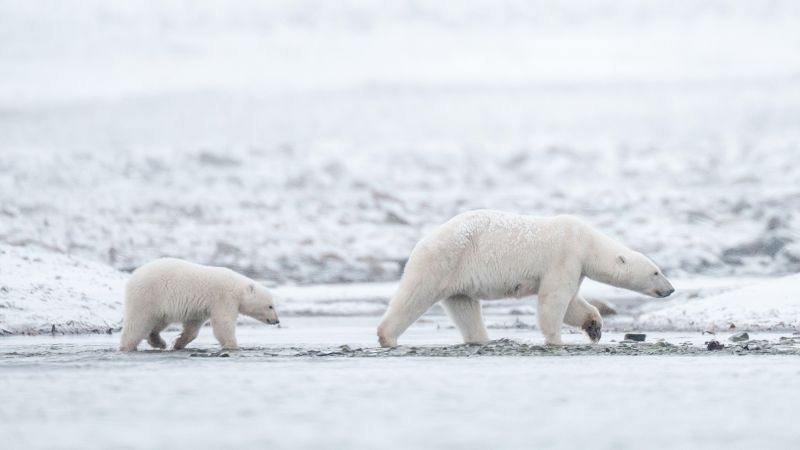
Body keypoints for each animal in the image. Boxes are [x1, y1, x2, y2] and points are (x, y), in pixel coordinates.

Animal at [119, 258, 279, 352]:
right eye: (270, 306)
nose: (276, 320)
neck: (237, 288)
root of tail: (133, 277)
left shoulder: (199, 308)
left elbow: (192, 327)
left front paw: (179, 343)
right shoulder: (224, 298)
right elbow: (223, 323)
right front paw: (232, 346)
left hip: (158, 305)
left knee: (158, 322)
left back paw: (159, 342)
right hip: (148, 296)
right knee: (138, 322)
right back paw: (127, 347)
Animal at [377, 210, 674, 347]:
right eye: (656, 271)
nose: (670, 289)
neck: (586, 241)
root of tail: (422, 242)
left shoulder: (575, 266)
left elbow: (572, 304)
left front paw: (594, 327)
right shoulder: (564, 257)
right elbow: (554, 301)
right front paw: (556, 339)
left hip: (457, 278)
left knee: (465, 308)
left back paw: (482, 339)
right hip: (443, 260)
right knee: (414, 296)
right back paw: (387, 336)